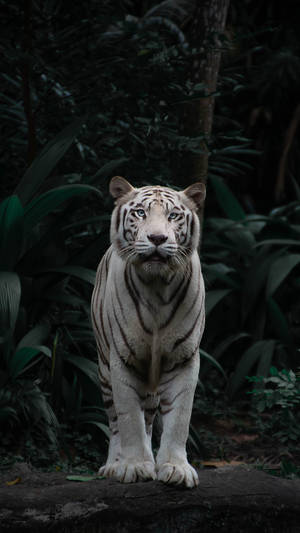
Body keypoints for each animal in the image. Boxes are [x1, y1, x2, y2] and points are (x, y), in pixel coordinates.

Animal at [90, 176, 205, 486]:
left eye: (173, 216)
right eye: (141, 213)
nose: (157, 239)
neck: (157, 287)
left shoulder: (183, 358)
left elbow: (180, 418)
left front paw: (175, 468)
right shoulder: (123, 359)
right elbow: (129, 418)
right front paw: (133, 466)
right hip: (104, 369)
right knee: (116, 422)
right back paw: (114, 465)